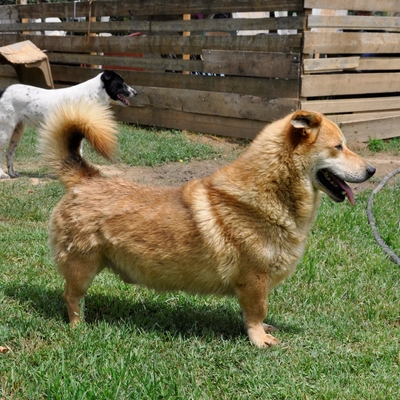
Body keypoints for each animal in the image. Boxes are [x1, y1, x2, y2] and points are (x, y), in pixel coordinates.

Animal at [0, 69, 136, 179]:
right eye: (121, 83)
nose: (136, 92)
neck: (92, 95)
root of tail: (3, 91)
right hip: (5, 131)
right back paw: (3, 174)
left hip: (17, 132)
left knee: (9, 153)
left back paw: (12, 173)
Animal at [39, 99, 374, 346]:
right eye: (339, 147)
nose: (371, 170)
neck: (269, 194)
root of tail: (85, 178)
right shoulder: (254, 280)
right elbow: (256, 312)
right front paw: (259, 340)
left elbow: (255, 314)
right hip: (82, 267)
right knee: (70, 297)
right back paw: (78, 327)